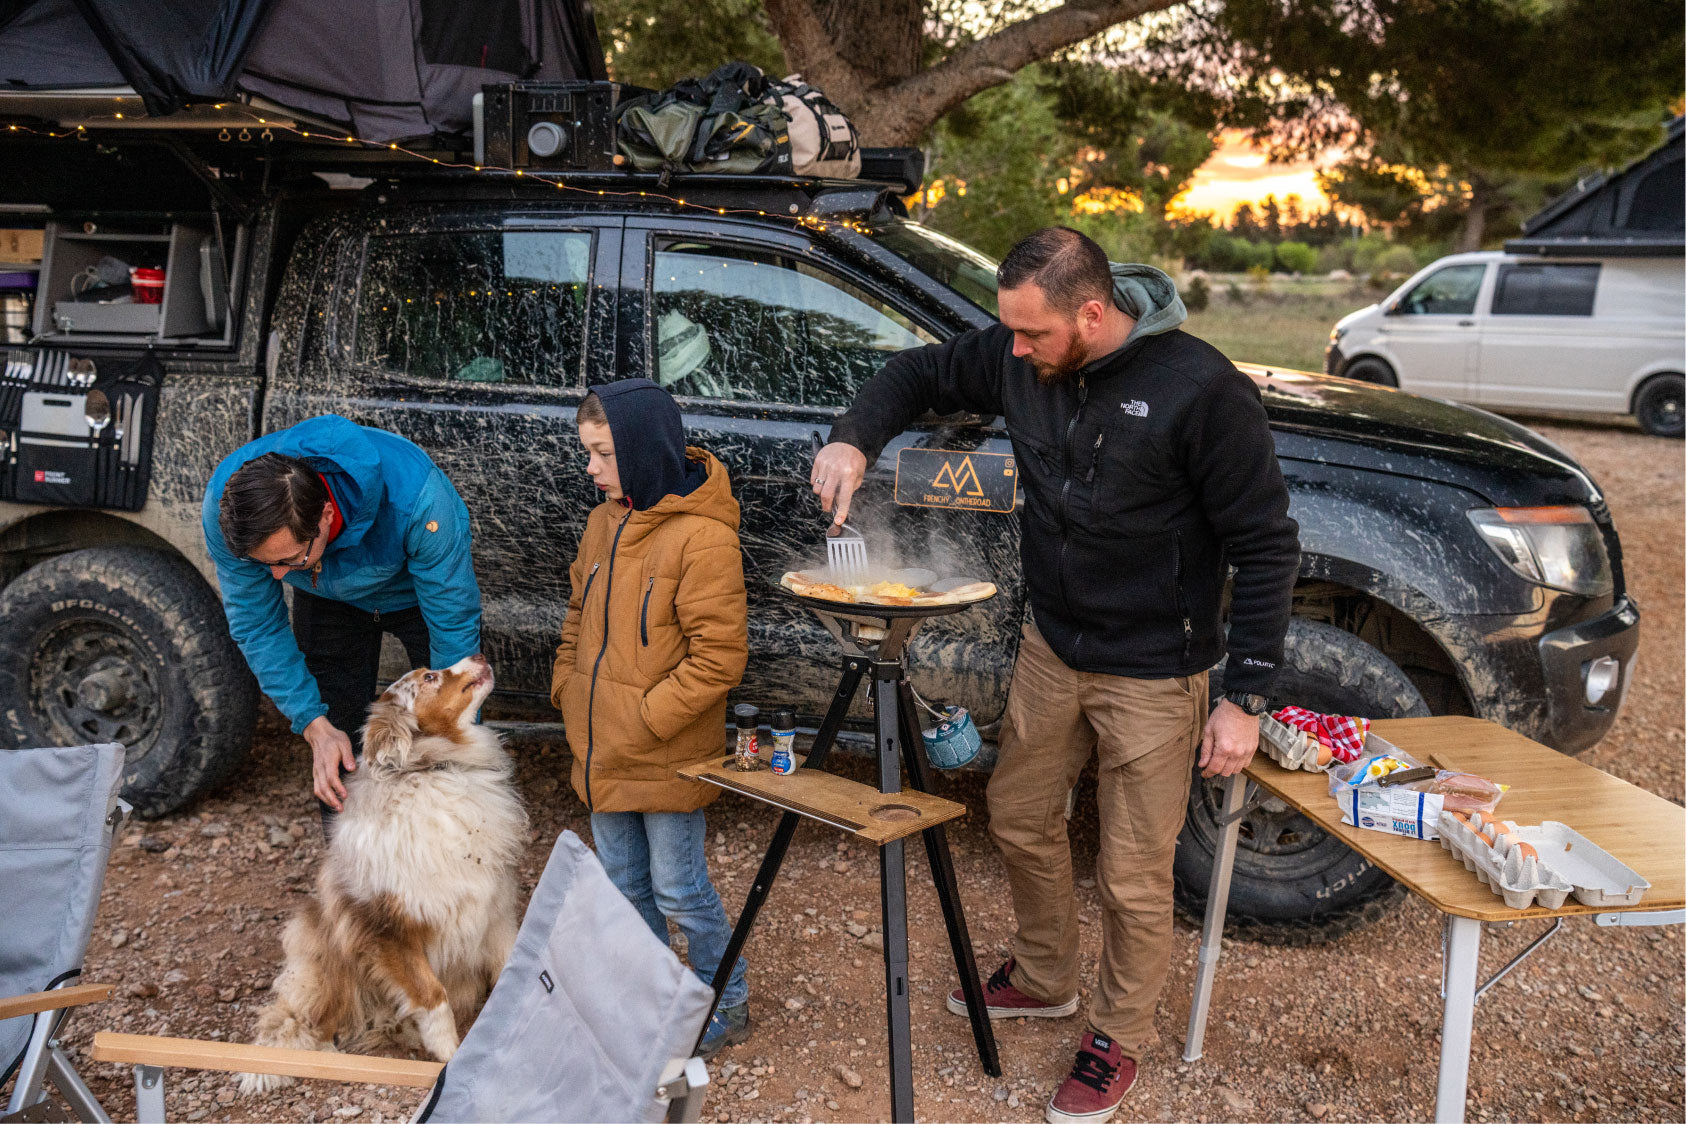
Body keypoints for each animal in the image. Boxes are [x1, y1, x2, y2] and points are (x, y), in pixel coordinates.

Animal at [242, 653, 526, 1091]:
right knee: (309, 1020)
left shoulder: (493, 909)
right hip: (329, 952)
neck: (435, 768)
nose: (478, 654)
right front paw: (449, 1055)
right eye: (430, 677)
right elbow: (432, 996)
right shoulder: (387, 929)